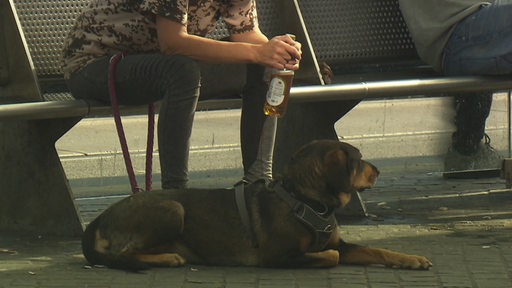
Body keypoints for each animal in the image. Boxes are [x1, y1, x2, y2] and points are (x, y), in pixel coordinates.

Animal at [83, 140, 432, 270]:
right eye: (358, 161)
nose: (378, 170)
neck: (307, 201)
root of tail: (100, 218)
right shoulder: (278, 256)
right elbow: (329, 256)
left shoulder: (342, 243)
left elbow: (376, 249)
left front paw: (410, 258)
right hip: (173, 209)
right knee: (123, 255)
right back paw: (168, 258)